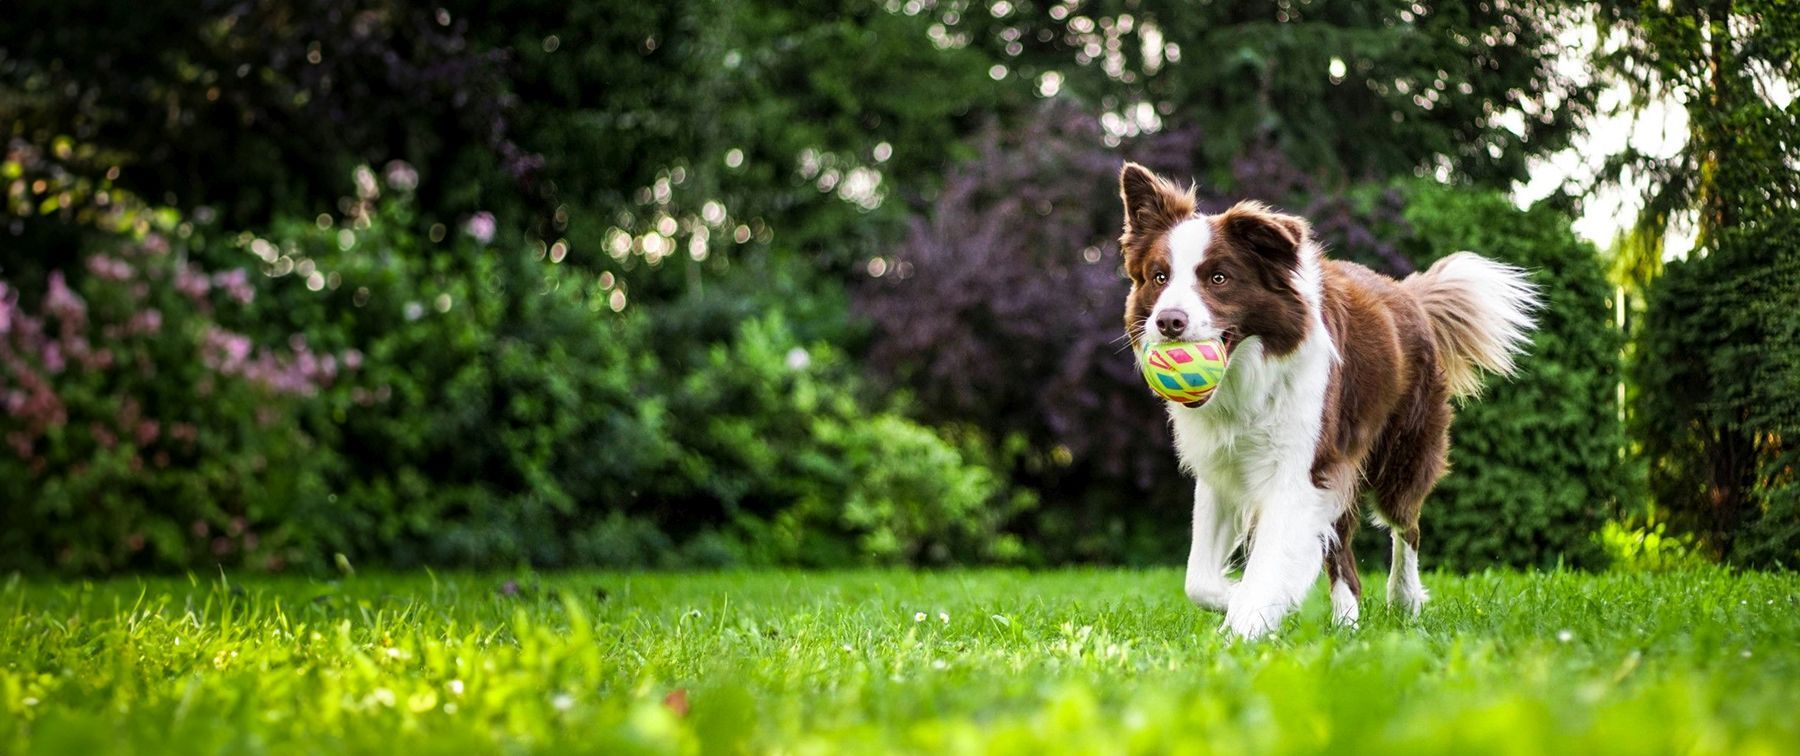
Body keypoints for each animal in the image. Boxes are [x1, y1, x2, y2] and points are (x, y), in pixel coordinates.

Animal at [1116, 163, 1540, 637]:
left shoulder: (1300, 468)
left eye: (1218, 278)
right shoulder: (1222, 469)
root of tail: (1408, 293)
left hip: (1401, 454)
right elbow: (1198, 580)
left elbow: (1269, 562)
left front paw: (1246, 624)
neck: (1247, 377)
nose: (1169, 322)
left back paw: (1404, 599)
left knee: (1406, 526)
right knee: (1344, 556)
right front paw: (1241, 600)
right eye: (1159, 277)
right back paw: (1347, 623)